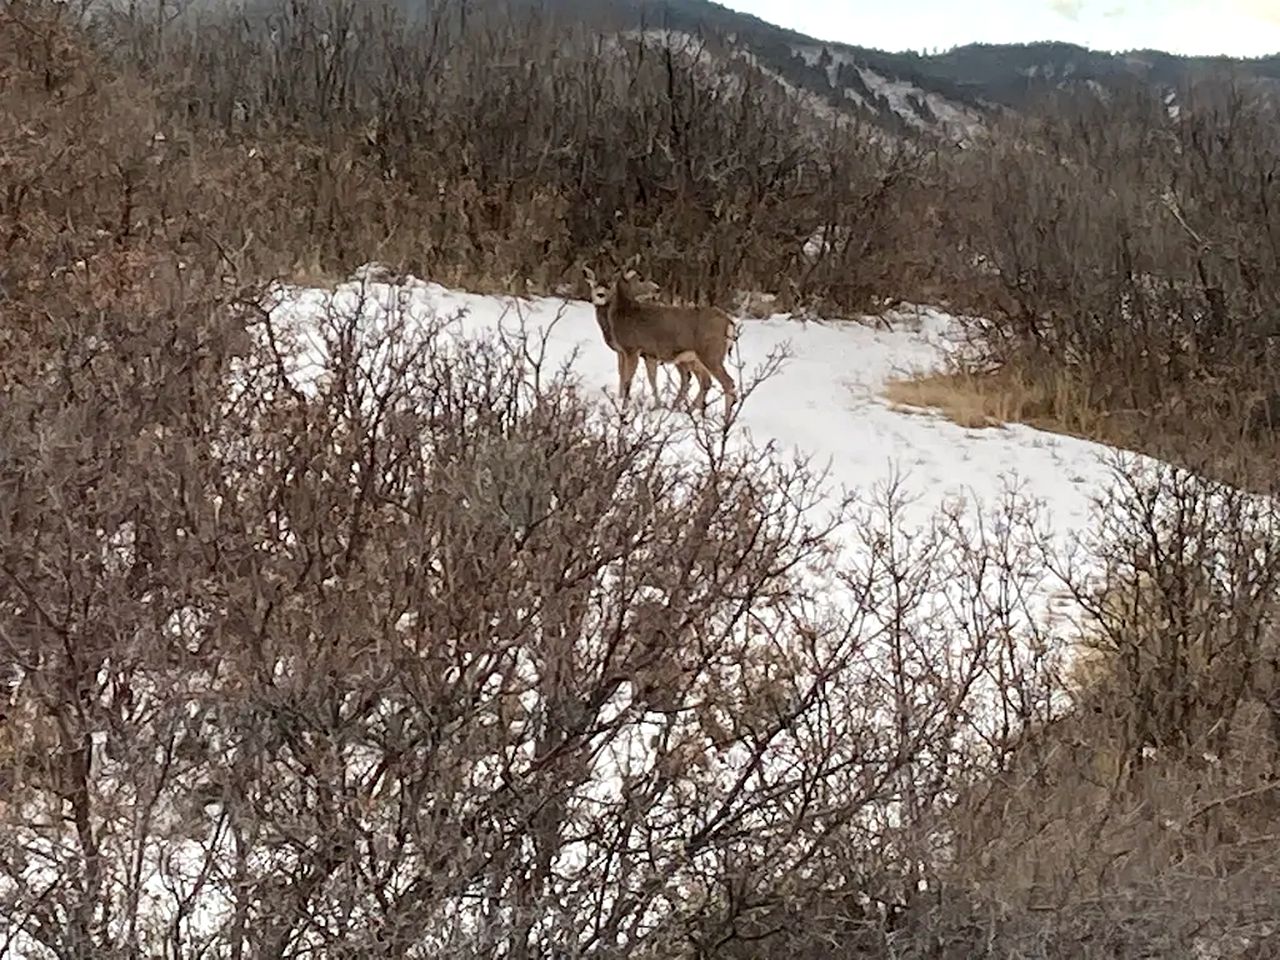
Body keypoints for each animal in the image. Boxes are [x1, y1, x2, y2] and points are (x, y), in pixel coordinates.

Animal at [583, 263, 742, 414]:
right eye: (594, 284)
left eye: (610, 284)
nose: (599, 294)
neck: (623, 314)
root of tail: (729, 322)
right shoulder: (648, 354)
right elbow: (648, 378)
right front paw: (656, 406)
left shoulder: (631, 348)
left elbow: (628, 379)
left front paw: (624, 406)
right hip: (697, 357)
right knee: (706, 382)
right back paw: (686, 410)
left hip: (710, 354)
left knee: (727, 382)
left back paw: (725, 420)